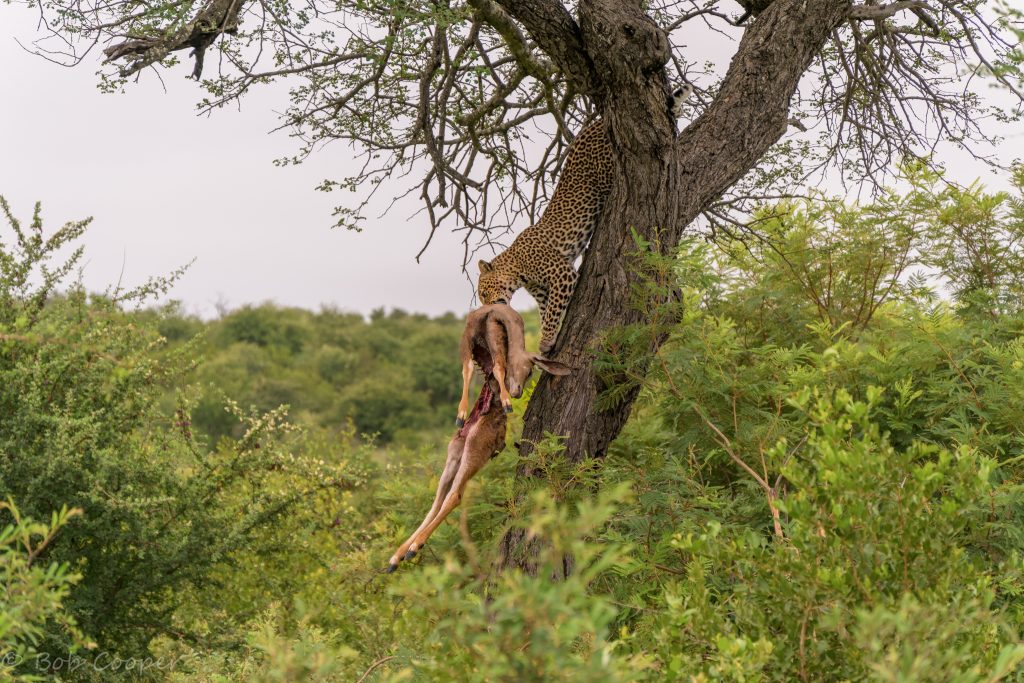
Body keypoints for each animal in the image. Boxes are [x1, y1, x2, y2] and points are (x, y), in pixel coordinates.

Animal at [477, 84, 693, 354]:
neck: (516, 269)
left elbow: (552, 312)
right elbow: (547, 311)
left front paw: (546, 341)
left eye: (483, 292)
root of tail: (599, 121)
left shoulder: (561, 274)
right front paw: (548, 338)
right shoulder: (543, 291)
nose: (485, 309)